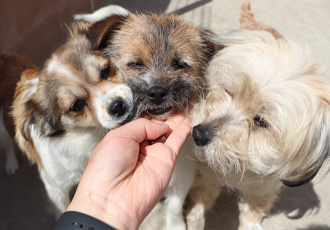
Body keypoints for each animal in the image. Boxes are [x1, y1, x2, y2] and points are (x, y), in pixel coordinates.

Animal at [191, 0, 330, 229]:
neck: (239, 167)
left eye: (261, 121)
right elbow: (203, 195)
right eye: (229, 91)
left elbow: (254, 210)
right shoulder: (206, 173)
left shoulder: (265, 189)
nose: (198, 134)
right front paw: (195, 216)